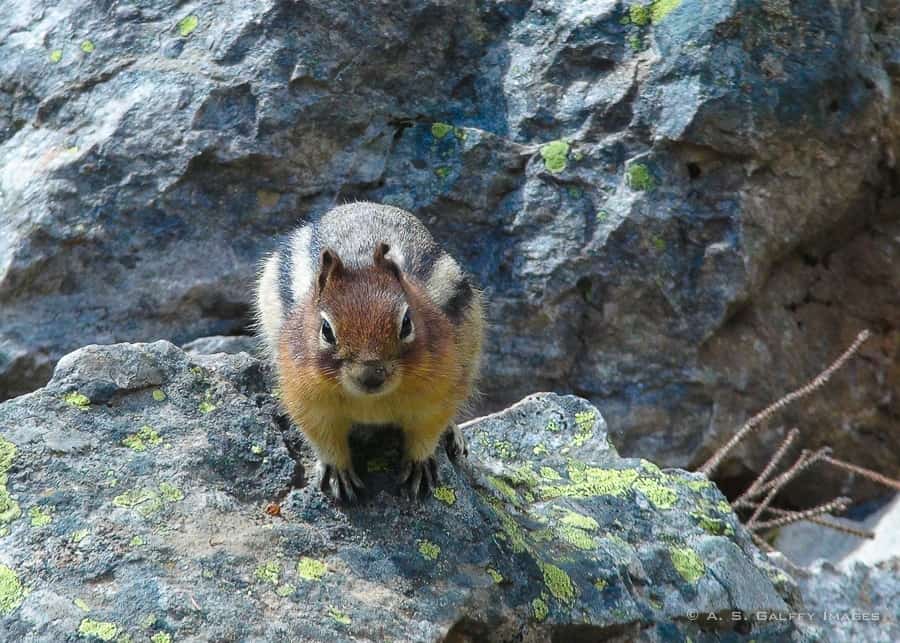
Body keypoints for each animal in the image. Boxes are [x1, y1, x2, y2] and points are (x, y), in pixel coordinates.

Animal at [255, 201, 486, 504]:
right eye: (326, 330)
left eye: (406, 323)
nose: (371, 376)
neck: (370, 402)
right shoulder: (306, 397)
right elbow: (322, 437)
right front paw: (338, 473)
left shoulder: (440, 390)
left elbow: (427, 429)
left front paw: (419, 466)